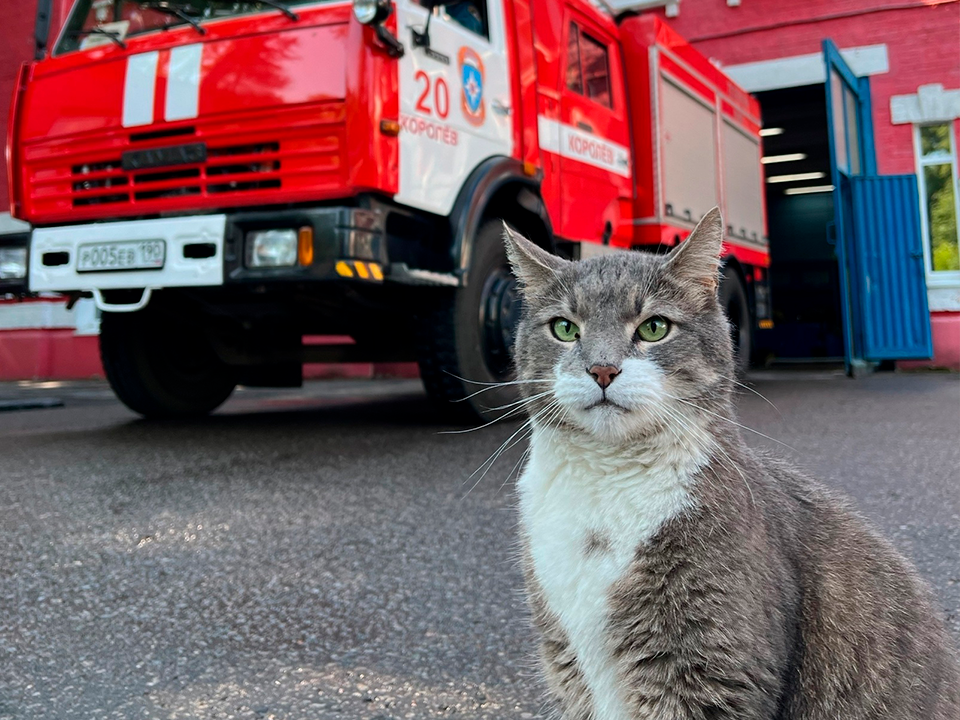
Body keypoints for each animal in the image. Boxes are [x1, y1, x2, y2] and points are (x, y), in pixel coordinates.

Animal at [502, 207, 960, 720]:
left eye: (654, 327)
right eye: (564, 329)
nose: (602, 369)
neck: (606, 483)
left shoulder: (709, 667)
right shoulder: (568, 665)